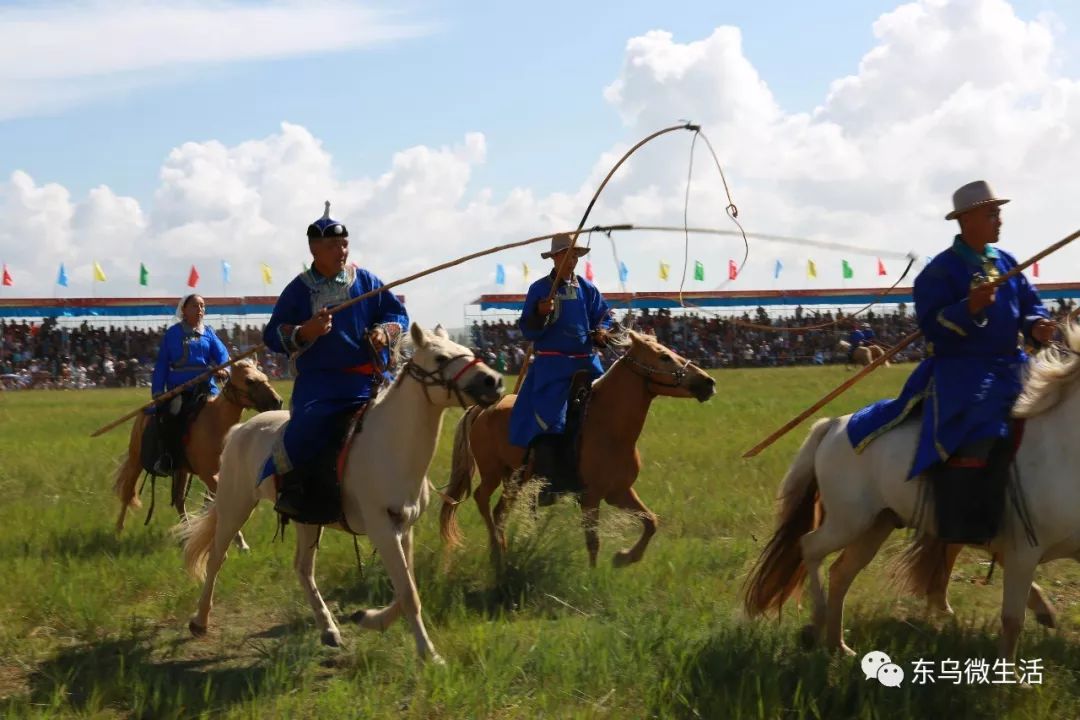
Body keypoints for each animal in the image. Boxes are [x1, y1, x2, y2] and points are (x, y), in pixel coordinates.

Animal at [112, 358, 282, 537]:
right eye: (249, 381)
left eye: (264, 376)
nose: (277, 401)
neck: (216, 422)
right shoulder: (207, 474)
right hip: (136, 459)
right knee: (128, 491)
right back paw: (118, 529)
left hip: (181, 469)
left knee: (179, 500)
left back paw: (186, 532)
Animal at [174, 325, 503, 664]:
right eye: (440, 357)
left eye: (466, 350)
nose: (493, 381)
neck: (391, 444)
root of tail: (240, 430)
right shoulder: (382, 529)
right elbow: (409, 594)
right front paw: (429, 654)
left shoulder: (404, 527)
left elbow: (406, 588)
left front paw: (369, 618)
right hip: (234, 505)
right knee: (217, 556)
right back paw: (200, 620)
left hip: (305, 519)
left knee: (303, 569)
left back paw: (328, 629)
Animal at [438, 330, 717, 569]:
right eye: (664, 356)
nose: (708, 382)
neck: (607, 426)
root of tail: (482, 409)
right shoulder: (591, 497)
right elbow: (593, 542)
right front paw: (593, 577)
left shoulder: (619, 492)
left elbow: (651, 522)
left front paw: (624, 557)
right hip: (493, 471)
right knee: (482, 499)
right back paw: (497, 551)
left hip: (514, 478)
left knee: (499, 512)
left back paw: (501, 551)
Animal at [743, 325, 1080, 660]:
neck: (1060, 446)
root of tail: (834, 425)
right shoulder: (1023, 551)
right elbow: (1011, 621)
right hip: (848, 521)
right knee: (810, 547)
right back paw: (818, 621)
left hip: (878, 523)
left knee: (841, 572)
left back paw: (838, 644)